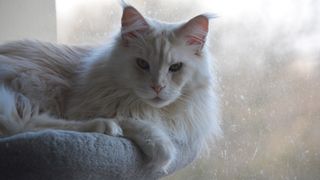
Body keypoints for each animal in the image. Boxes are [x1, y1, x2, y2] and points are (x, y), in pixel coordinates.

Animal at [0, 3, 220, 172]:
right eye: (142, 64)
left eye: (175, 67)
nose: (157, 86)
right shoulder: (84, 107)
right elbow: (135, 122)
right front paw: (161, 157)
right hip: (39, 84)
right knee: (26, 124)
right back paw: (105, 127)